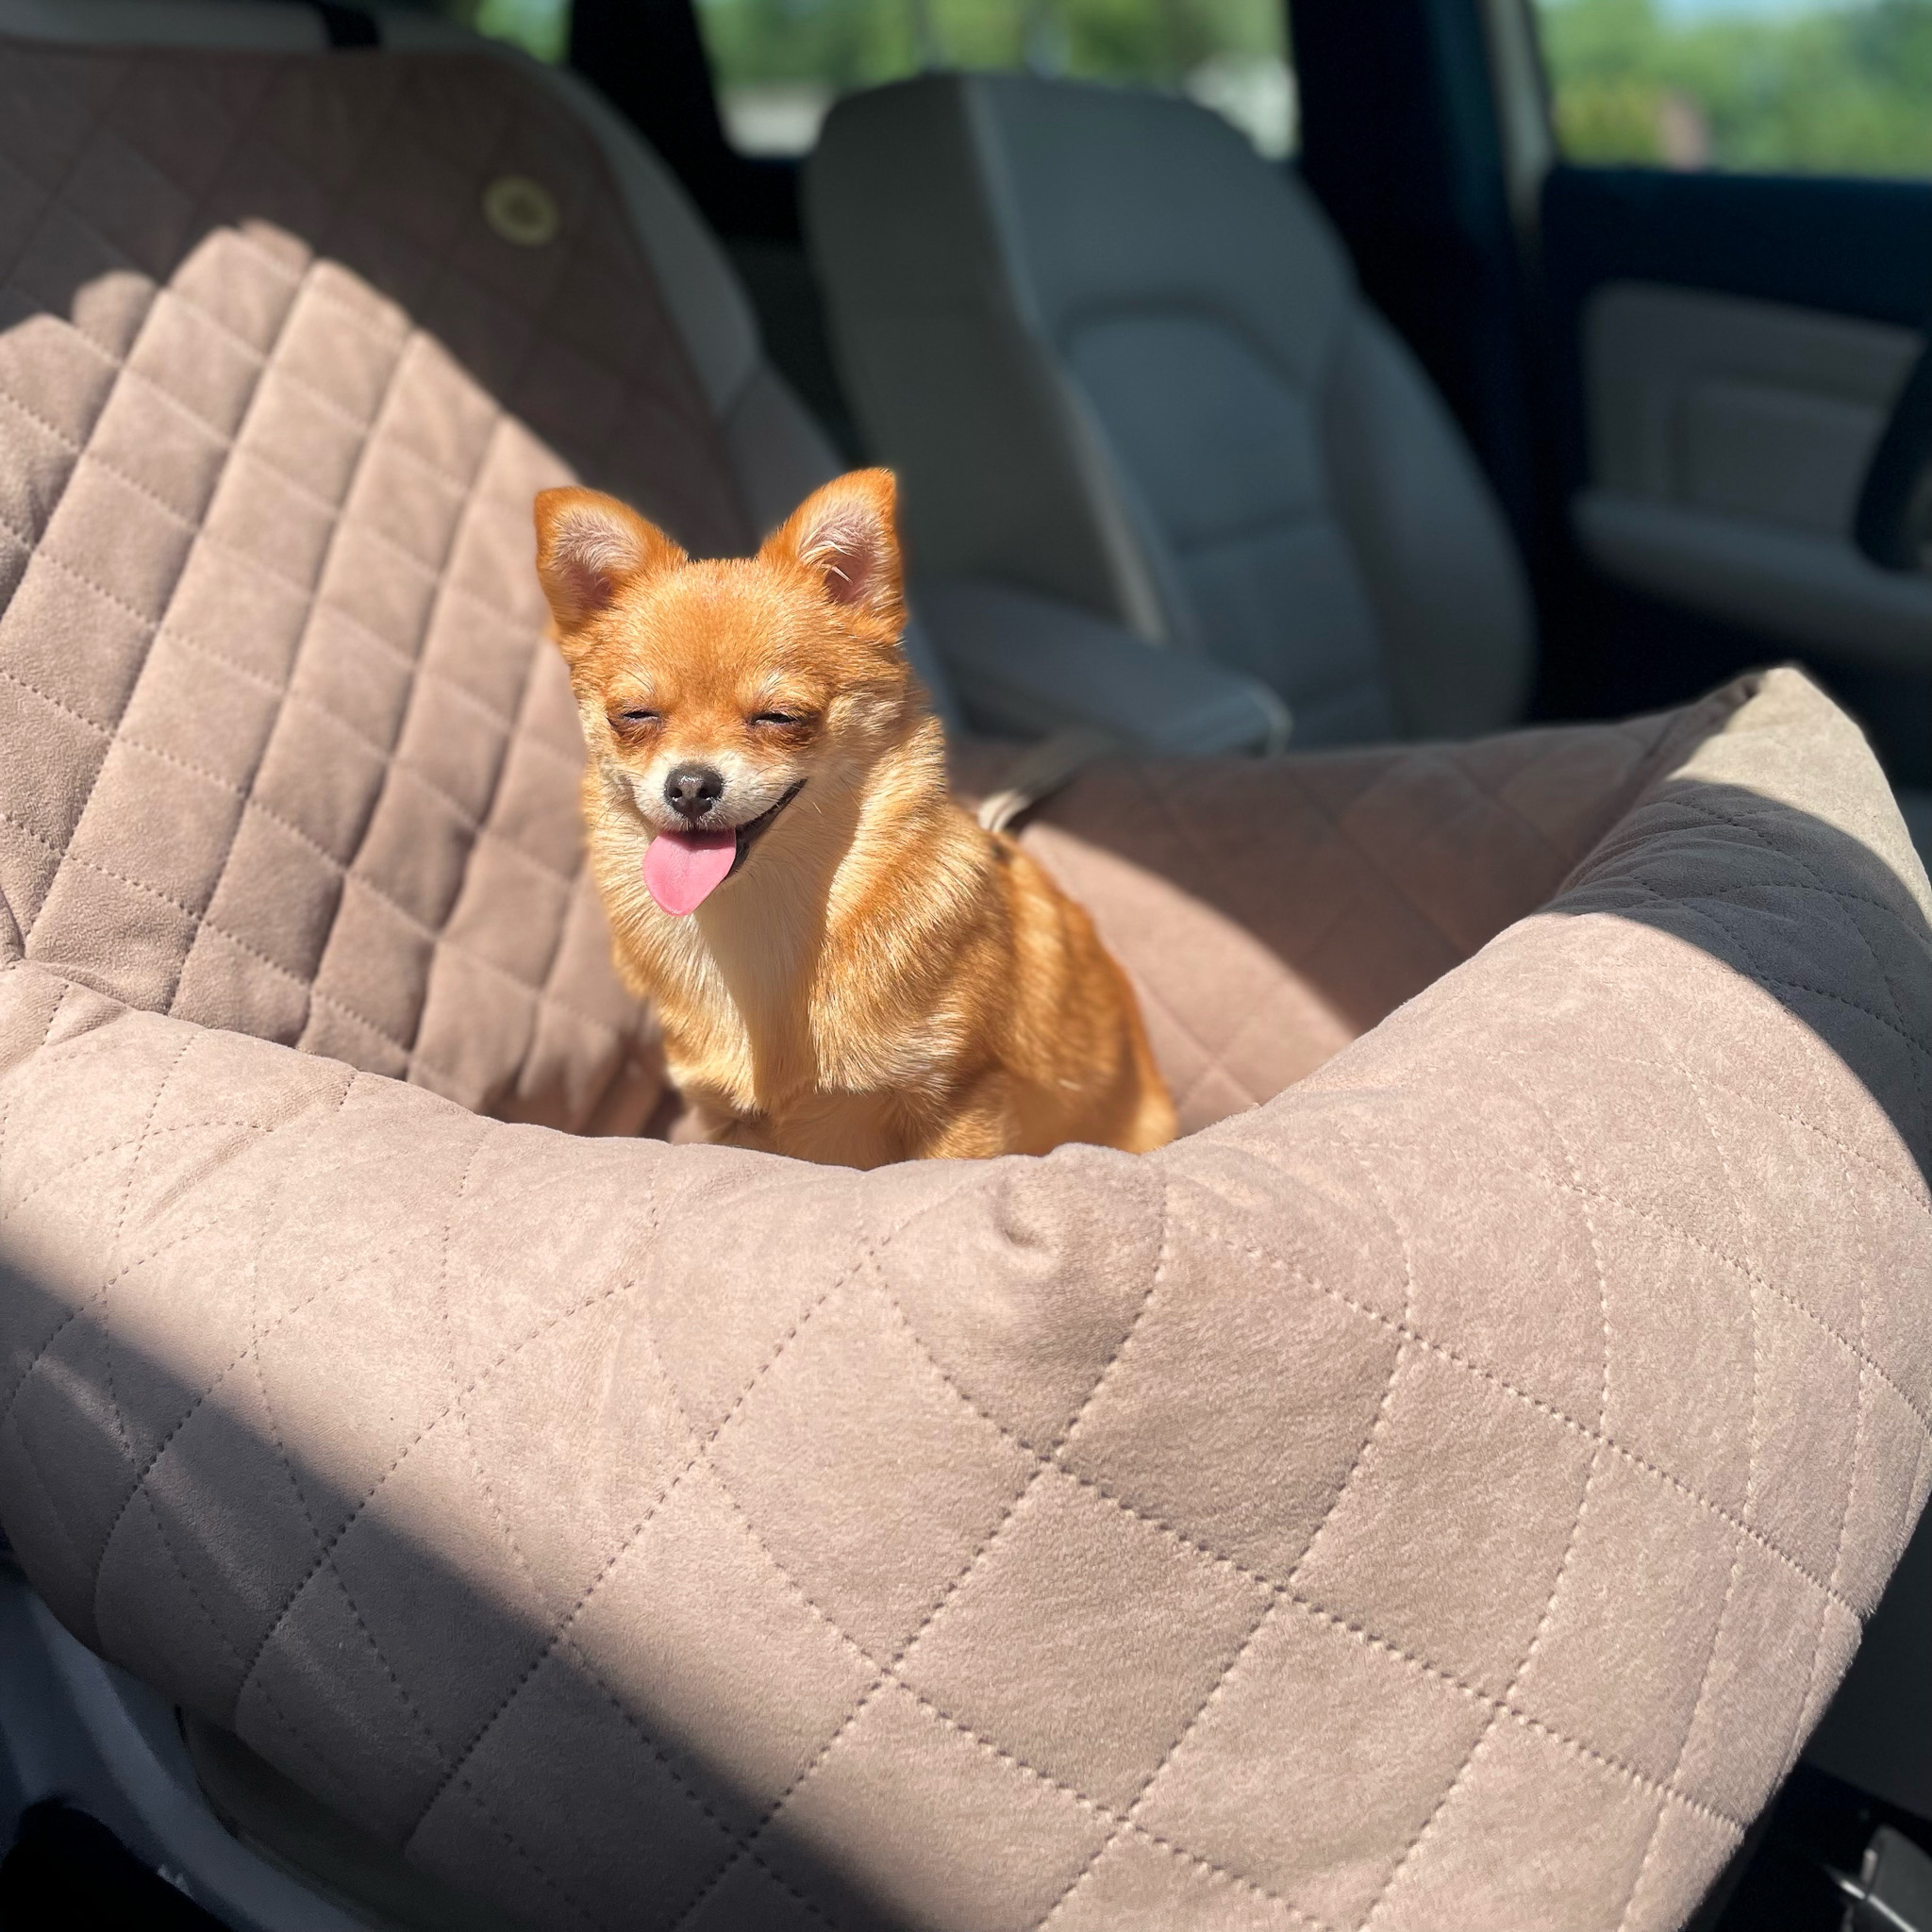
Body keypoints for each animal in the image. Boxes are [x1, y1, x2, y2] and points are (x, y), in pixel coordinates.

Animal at [533, 468, 1176, 1169]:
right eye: (636, 716)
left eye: (780, 717)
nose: (691, 784)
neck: (766, 922)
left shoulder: (958, 1104)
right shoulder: (731, 1124)